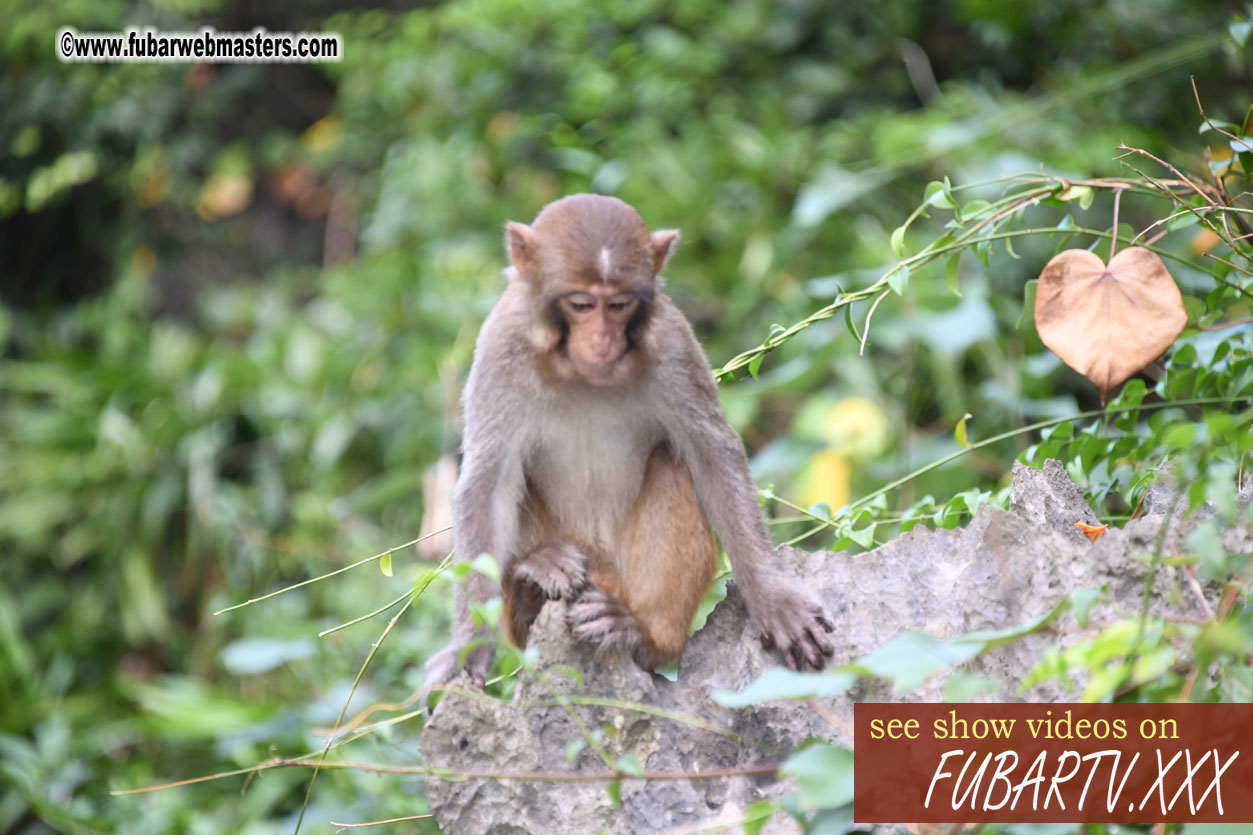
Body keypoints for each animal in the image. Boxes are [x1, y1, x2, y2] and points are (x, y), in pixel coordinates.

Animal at [426, 193, 837, 687]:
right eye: (581, 304)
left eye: (620, 304)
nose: (602, 339)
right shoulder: (500, 348)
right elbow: (486, 484)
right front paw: (469, 646)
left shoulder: (672, 343)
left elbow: (712, 456)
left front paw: (770, 594)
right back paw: (533, 578)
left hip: (622, 583)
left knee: (673, 465)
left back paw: (639, 635)